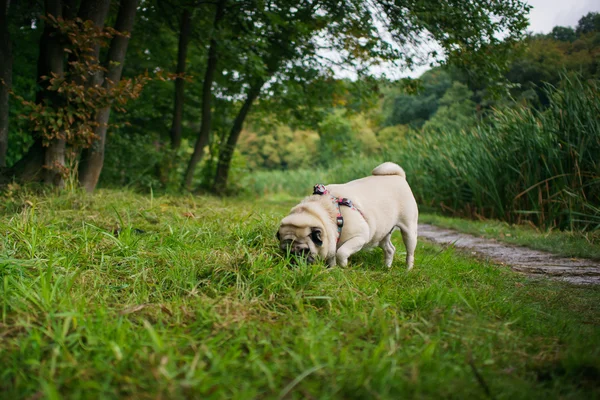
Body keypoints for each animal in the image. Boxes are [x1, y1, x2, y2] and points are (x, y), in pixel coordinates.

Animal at [276, 162, 418, 268]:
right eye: (284, 251)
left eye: (305, 251)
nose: (293, 260)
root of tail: (398, 176)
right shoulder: (332, 240)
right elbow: (333, 255)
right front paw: (332, 269)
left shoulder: (359, 237)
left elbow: (341, 252)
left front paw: (343, 265)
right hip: (382, 233)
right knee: (389, 249)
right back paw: (386, 267)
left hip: (409, 230)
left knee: (410, 252)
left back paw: (408, 269)